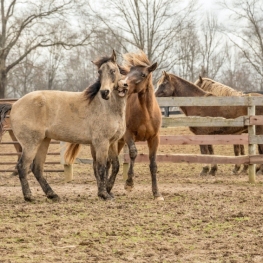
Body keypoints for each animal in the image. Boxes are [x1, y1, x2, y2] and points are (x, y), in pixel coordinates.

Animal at [0, 50, 129, 202]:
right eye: (99, 72)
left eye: (113, 71)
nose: (104, 92)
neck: (107, 107)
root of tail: (14, 104)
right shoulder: (101, 143)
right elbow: (101, 167)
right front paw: (104, 194)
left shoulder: (112, 143)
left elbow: (115, 166)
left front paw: (108, 191)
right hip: (31, 143)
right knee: (23, 166)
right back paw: (29, 196)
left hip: (43, 141)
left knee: (37, 168)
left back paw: (52, 195)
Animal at [118, 50, 164, 201]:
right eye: (127, 73)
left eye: (143, 74)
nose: (123, 85)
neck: (146, 114)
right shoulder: (129, 135)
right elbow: (133, 153)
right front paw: (129, 184)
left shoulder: (154, 138)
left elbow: (153, 164)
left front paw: (157, 193)